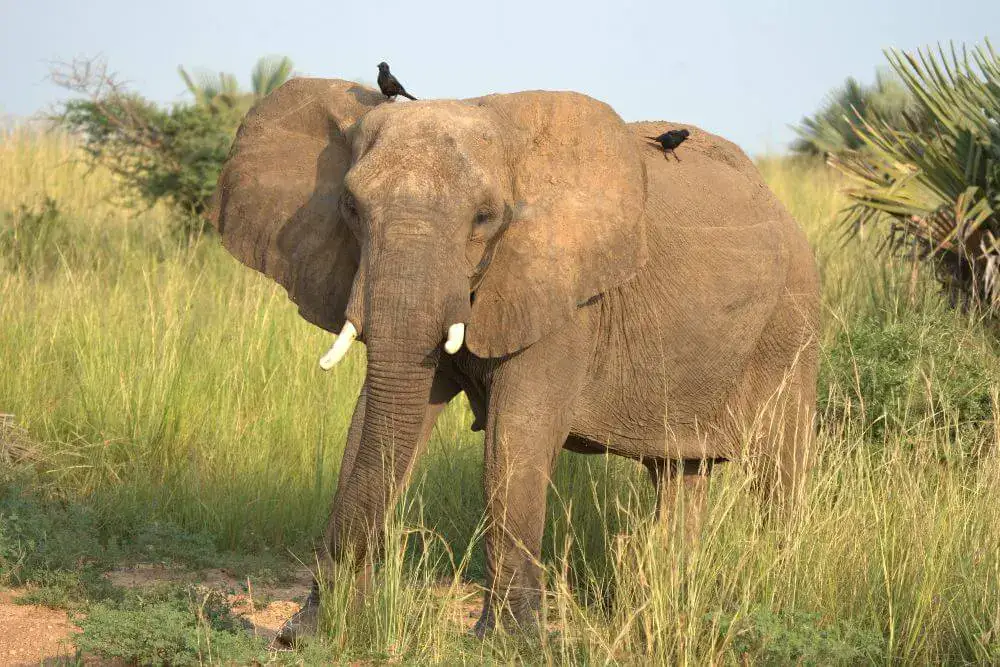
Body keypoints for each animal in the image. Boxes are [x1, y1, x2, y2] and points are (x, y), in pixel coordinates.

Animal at [207, 78, 820, 644]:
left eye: (485, 217)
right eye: (350, 208)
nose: (294, 631)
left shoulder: (566, 295)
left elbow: (516, 435)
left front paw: (505, 642)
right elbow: (372, 426)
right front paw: (314, 632)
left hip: (790, 327)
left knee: (778, 467)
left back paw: (779, 594)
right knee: (680, 473)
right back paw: (667, 603)